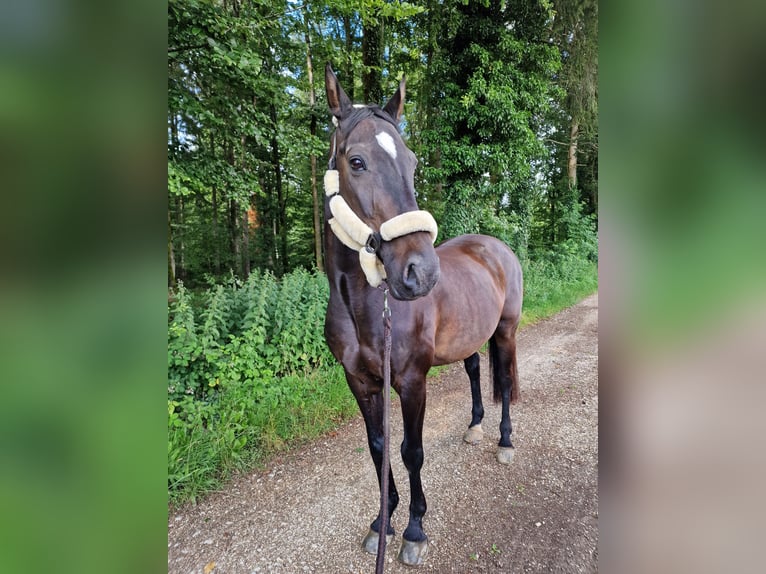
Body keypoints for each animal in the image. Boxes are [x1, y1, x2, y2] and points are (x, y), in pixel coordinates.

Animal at [320, 63, 524, 568]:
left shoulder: (411, 380)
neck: (364, 307)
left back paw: (504, 442)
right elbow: (377, 449)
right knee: (475, 371)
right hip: (472, 338)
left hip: (506, 331)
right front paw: (383, 520)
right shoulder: (360, 381)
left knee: (504, 380)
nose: (421, 273)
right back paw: (474, 427)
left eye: (412, 163)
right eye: (356, 161)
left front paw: (413, 530)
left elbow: (411, 450)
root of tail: (496, 246)